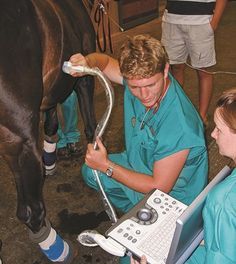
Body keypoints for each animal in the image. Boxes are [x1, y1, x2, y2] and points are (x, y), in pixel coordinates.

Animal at [0, 0, 96, 262]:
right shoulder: (83, 77)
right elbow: (91, 127)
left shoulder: (49, 91)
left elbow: (51, 123)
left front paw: (50, 161)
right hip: (19, 138)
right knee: (31, 211)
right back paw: (58, 249)